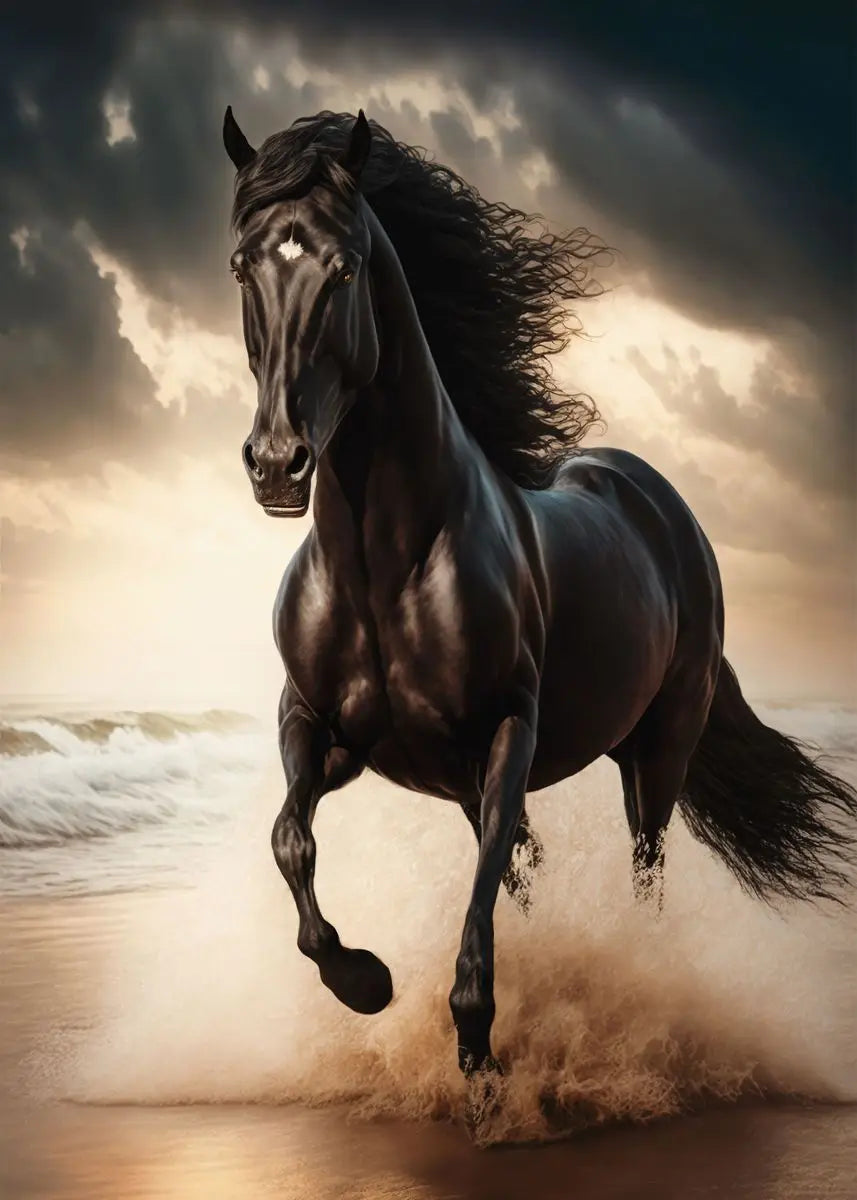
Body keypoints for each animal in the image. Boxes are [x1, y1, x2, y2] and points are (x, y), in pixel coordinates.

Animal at [222, 107, 857, 1092]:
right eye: (242, 264)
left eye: (345, 265)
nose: (279, 464)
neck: (382, 562)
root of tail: (662, 506)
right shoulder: (323, 730)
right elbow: (293, 839)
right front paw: (364, 982)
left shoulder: (505, 734)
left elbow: (481, 900)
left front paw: (478, 1055)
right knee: (530, 868)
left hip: (656, 751)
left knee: (642, 869)